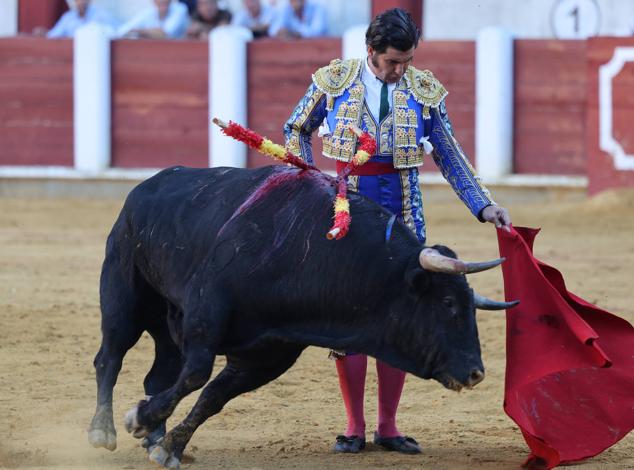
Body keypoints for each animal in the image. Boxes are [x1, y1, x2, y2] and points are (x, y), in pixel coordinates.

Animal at [87, 164, 512, 466]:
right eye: (448, 304)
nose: (476, 373)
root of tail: (145, 187)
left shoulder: (270, 353)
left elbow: (212, 396)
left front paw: (170, 445)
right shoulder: (206, 313)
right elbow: (196, 375)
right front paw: (138, 420)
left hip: (165, 324)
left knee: (158, 374)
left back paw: (153, 437)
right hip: (123, 292)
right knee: (110, 357)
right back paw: (103, 432)